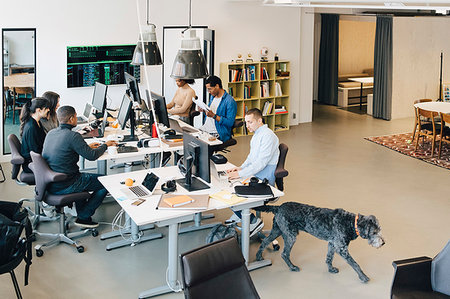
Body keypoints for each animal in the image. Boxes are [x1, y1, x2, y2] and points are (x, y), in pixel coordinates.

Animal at [255, 202, 384, 284]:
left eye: (379, 230)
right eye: (374, 232)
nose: (383, 243)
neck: (351, 223)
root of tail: (278, 207)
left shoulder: (332, 244)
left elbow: (329, 258)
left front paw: (330, 269)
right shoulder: (341, 249)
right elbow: (355, 264)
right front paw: (363, 277)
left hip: (277, 231)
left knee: (265, 241)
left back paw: (259, 257)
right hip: (290, 236)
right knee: (284, 253)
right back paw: (292, 267)